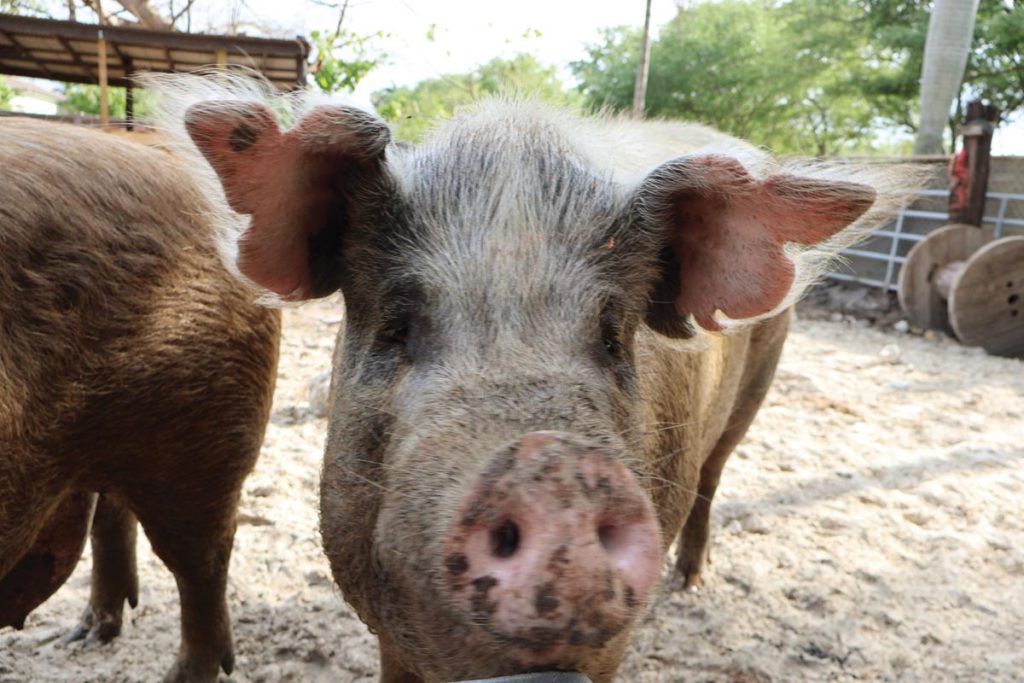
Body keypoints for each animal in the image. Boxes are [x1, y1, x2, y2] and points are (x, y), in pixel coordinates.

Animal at [161, 80, 909, 682]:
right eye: (398, 326)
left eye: (613, 335)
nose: (553, 464)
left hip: (757, 385)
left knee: (714, 474)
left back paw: (692, 583)